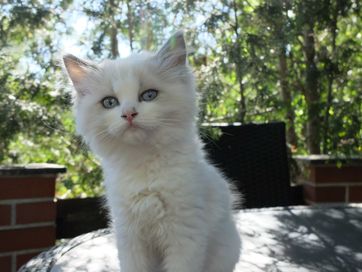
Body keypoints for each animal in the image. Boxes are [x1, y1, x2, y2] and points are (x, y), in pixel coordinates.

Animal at [63, 31, 240, 272]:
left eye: (149, 95)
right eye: (109, 102)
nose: (129, 114)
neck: (143, 165)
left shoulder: (185, 235)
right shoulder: (129, 236)